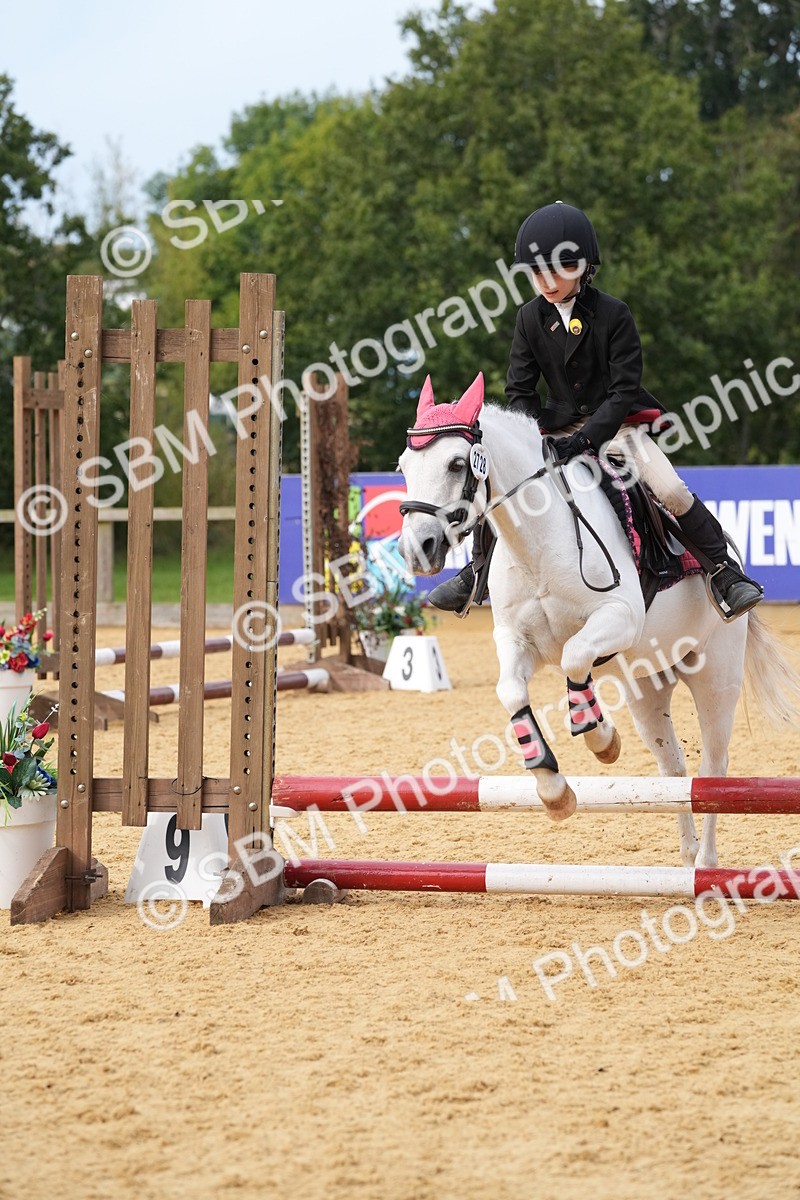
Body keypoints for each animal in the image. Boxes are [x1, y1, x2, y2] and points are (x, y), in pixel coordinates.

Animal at [397, 372, 800, 868]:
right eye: (403, 467)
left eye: (457, 464)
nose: (417, 549)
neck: (537, 540)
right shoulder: (515, 639)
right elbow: (512, 691)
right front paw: (554, 790)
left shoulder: (619, 618)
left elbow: (574, 657)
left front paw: (602, 740)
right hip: (648, 685)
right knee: (674, 770)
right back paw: (688, 857)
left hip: (717, 677)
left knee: (713, 770)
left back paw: (705, 864)